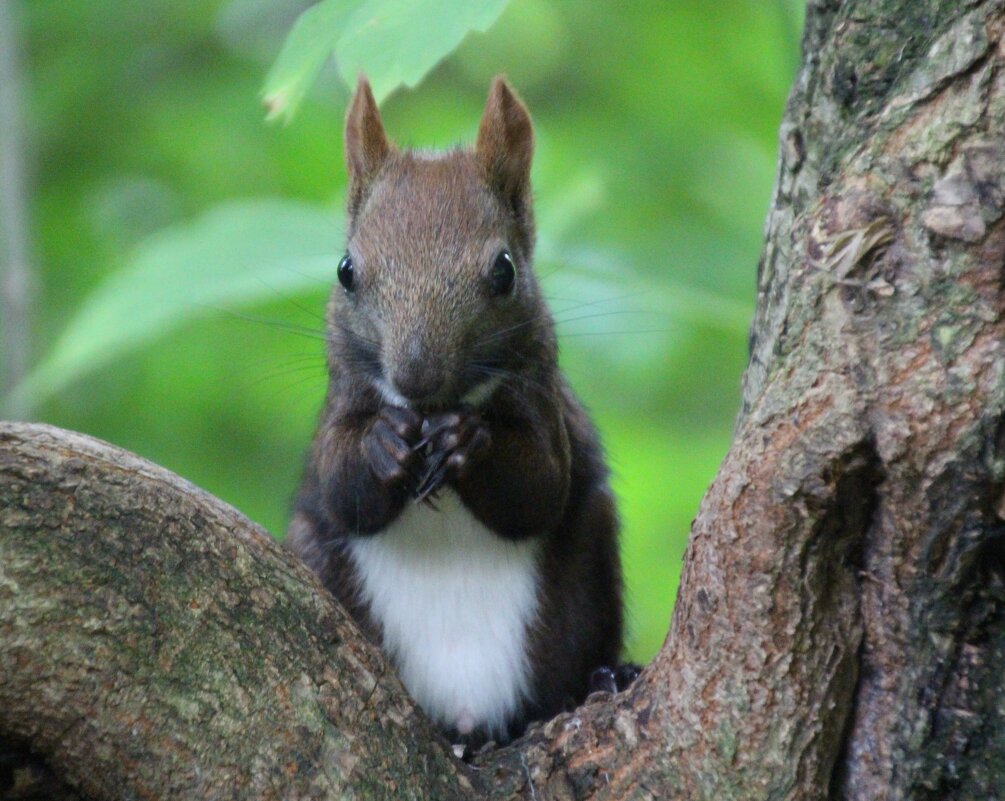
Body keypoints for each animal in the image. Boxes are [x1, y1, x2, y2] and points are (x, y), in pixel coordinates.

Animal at [285, 74, 627, 743]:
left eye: (505, 271)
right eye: (345, 270)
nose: (415, 377)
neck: (430, 409)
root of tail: (467, 714)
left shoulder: (546, 406)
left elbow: (539, 487)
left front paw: (468, 441)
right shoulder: (338, 411)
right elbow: (342, 487)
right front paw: (382, 444)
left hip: (588, 568)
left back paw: (606, 679)